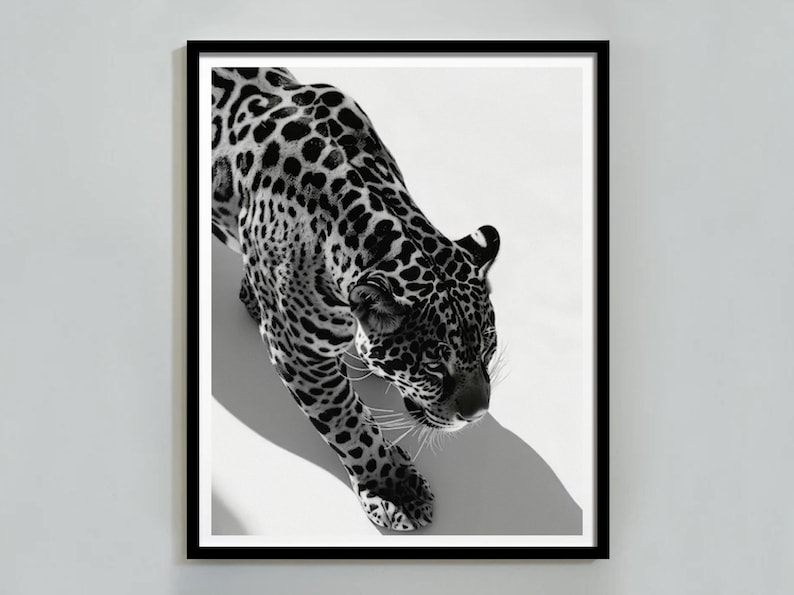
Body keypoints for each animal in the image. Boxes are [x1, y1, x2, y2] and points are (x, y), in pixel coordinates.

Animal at [211, 67, 501, 531]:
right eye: (433, 367)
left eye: (488, 349)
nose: (477, 414)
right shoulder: (300, 355)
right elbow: (349, 427)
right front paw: (394, 490)